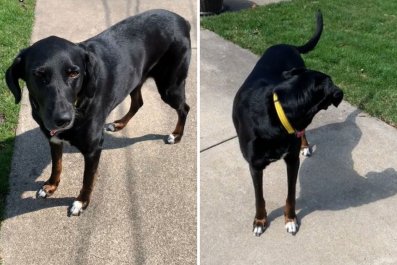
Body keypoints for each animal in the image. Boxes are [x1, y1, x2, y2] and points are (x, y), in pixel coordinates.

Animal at [5, 9, 192, 214]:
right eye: (38, 75)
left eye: (74, 73)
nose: (62, 119)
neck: (79, 104)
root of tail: (181, 20)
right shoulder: (54, 140)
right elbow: (57, 165)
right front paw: (51, 186)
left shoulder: (94, 149)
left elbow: (87, 180)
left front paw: (81, 202)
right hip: (135, 79)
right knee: (138, 103)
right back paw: (119, 124)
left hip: (170, 87)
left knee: (184, 108)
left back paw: (176, 135)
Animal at [234, 11, 342, 235]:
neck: (277, 114)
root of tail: (288, 44)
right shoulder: (255, 165)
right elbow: (259, 198)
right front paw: (260, 221)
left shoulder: (292, 160)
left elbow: (291, 195)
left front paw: (291, 219)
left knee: (304, 133)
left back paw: (305, 146)